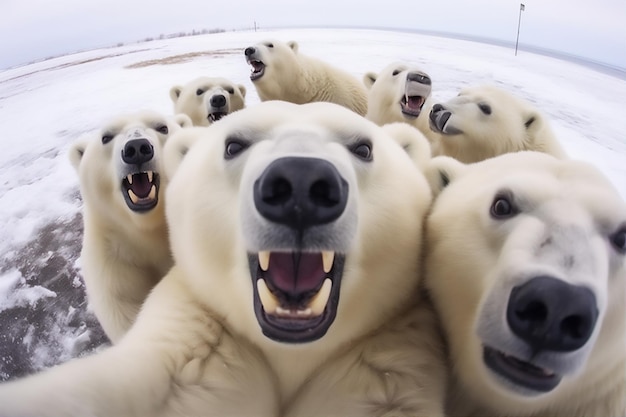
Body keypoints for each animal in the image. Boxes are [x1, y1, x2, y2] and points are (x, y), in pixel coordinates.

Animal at [67, 109, 190, 342]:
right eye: (106, 137)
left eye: (162, 127)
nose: (137, 149)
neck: (146, 229)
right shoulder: (114, 260)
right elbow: (126, 309)